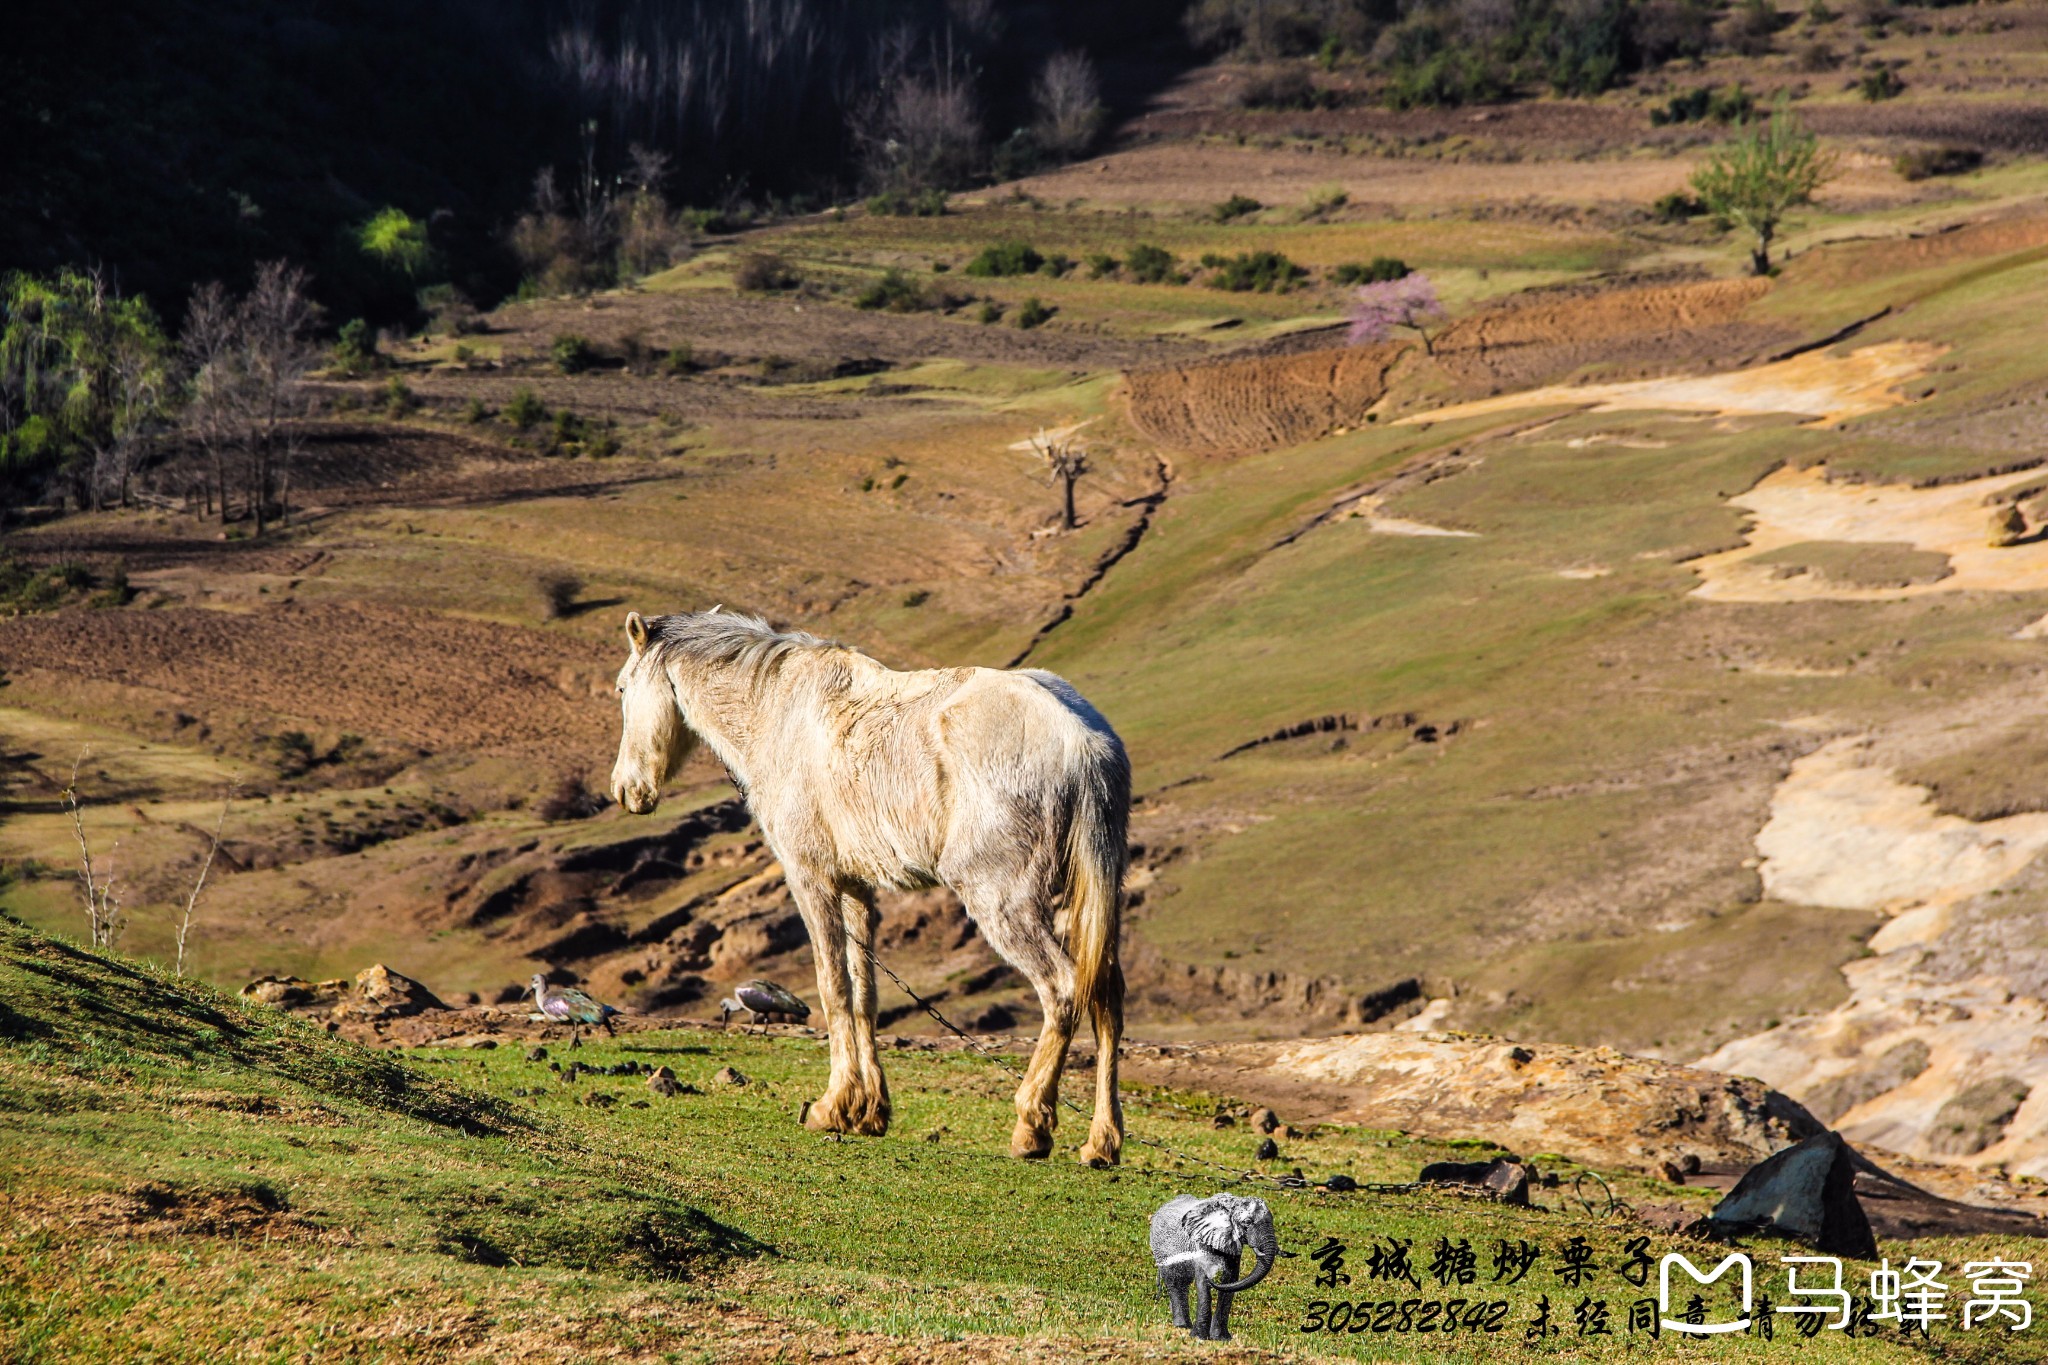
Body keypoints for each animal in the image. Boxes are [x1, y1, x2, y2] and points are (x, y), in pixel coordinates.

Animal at [606, 609, 1130, 1162]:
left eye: (622, 688)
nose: (626, 790)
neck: (776, 713)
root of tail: (1084, 745)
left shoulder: (810, 879)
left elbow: (832, 987)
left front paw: (831, 1107)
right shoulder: (856, 888)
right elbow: (863, 994)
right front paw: (869, 1111)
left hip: (1004, 902)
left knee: (1063, 990)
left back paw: (1032, 1125)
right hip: (1091, 903)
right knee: (1106, 999)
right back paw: (1102, 1141)